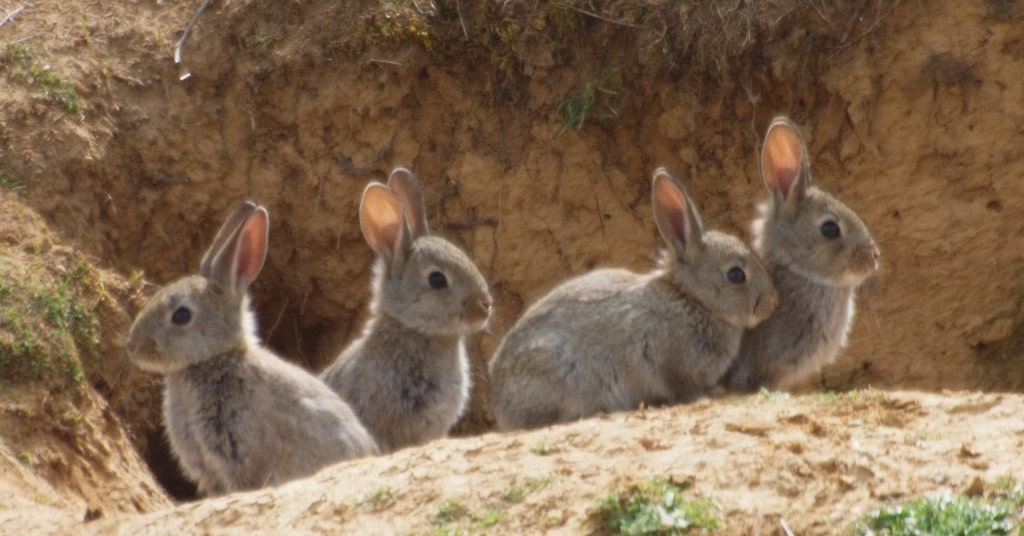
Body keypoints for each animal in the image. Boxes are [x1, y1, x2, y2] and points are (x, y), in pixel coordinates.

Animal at [487, 168, 774, 432]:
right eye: (736, 274)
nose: (772, 303)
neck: (693, 299)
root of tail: (499, 402)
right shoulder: (671, 362)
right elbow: (683, 389)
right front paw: (709, 394)